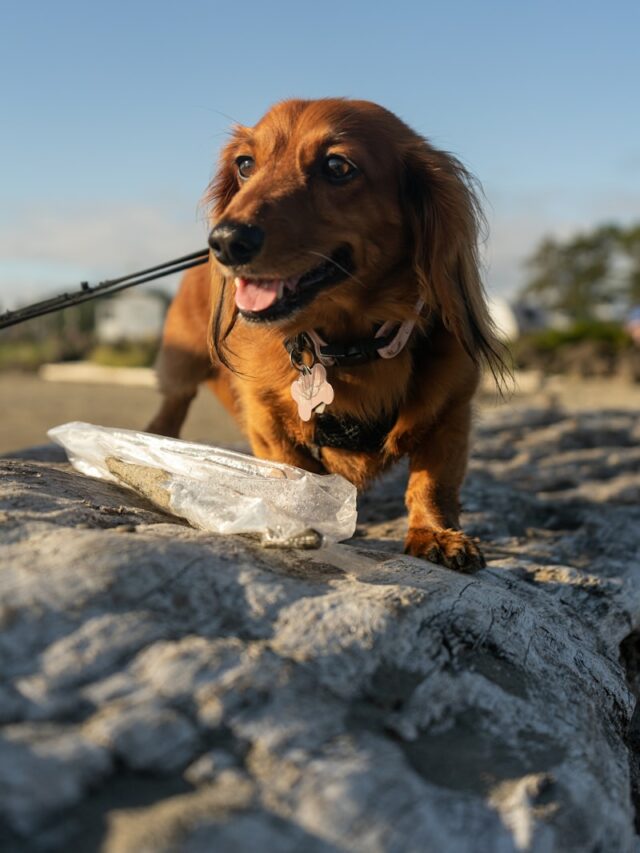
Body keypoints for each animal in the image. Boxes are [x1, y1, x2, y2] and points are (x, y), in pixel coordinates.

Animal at [148, 96, 508, 568]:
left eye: (337, 167)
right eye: (245, 164)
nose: (225, 241)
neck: (349, 346)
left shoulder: (452, 410)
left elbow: (433, 481)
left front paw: (435, 533)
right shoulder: (265, 418)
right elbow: (295, 473)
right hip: (182, 365)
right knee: (172, 404)